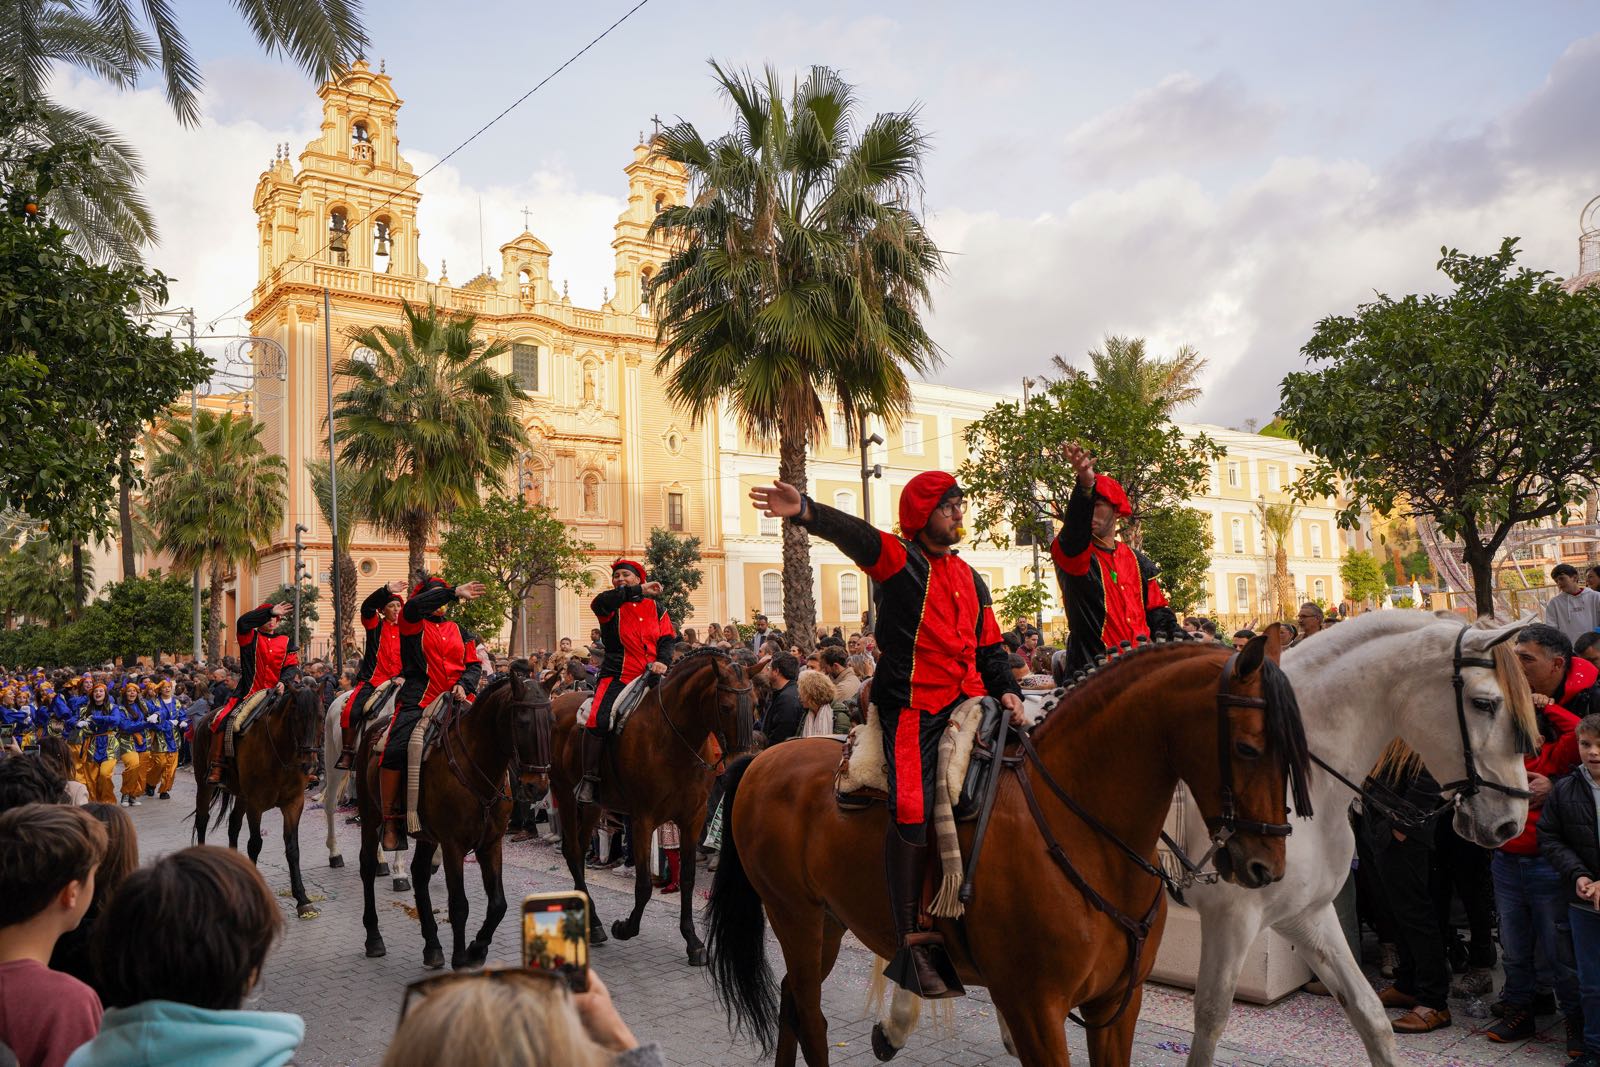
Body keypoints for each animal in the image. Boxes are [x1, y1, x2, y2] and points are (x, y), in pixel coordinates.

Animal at [193, 687, 324, 921]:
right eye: (297, 718)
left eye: (320, 717)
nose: (310, 765)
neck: (281, 755)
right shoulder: (256, 804)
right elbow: (254, 845)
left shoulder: (294, 803)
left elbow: (292, 848)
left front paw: (303, 900)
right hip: (204, 785)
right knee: (202, 821)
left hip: (241, 796)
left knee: (233, 825)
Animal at [355, 668, 550, 966]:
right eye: (522, 722)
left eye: (551, 722)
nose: (537, 787)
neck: (477, 766)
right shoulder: (453, 846)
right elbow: (459, 904)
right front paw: (460, 957)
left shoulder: (491, 843)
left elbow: (498, 904)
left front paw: (477, 948)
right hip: (370, 816)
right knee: (367, 866)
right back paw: (374, 938)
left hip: (425, 834)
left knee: (419, 874)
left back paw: (432, 946)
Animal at [550, 643, 755, 966]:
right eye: (725, 707)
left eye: (756, 704)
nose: (743, 761)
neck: (673, 738)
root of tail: (558, 703)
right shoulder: (643, 819)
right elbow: (644, 884)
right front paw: (626, 927)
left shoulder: (692, 819)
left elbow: (686, 878)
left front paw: (693, 941)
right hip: (566, 795)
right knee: (572, 852)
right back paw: (594, 924)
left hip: (594, 806)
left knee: (579, 851)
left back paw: (592, 922)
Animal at [710, 633, 1312, 1067]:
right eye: (1248, 747)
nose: (1266, 865)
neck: (1086, 834)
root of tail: (764, 758)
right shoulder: (1034, 1010)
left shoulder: (1117, 1005)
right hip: (794, 914)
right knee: (809, 1013)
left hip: (829, 921)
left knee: (794, 1000)